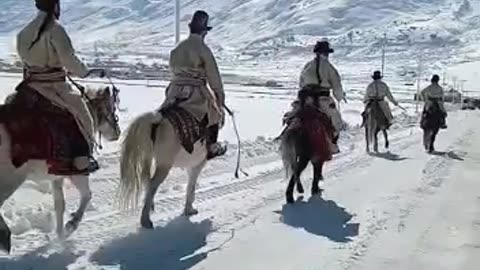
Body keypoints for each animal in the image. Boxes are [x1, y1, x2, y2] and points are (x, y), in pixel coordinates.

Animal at [0, 87, 121, 253]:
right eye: (111, 108)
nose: (118, 133)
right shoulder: (79, 171)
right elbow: (87, 195)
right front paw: (70, 226)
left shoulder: (57, 176)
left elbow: (60, 205)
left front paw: (60, 235)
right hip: (12, 180)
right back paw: (5, 237)